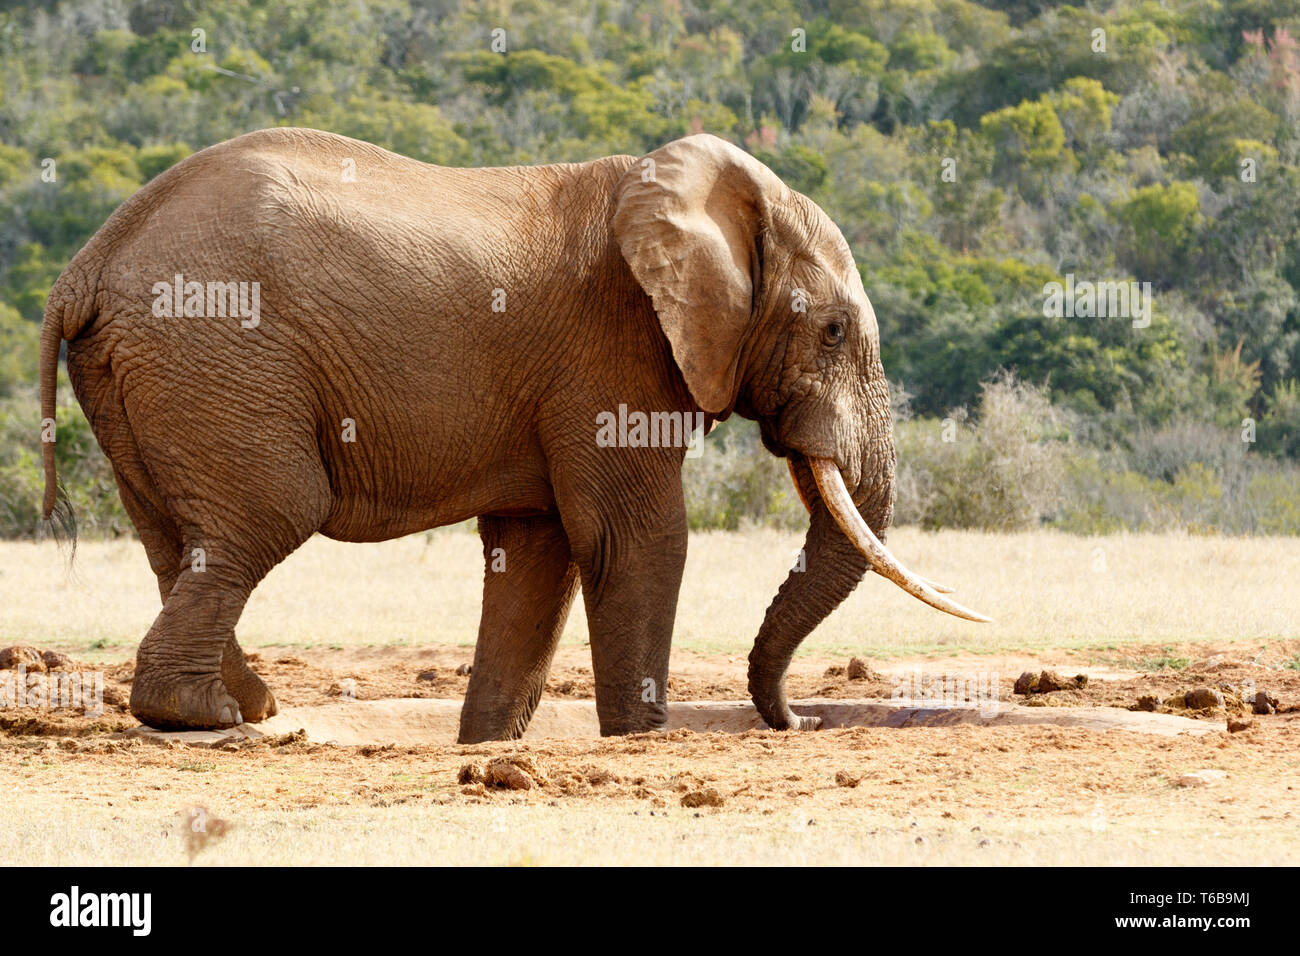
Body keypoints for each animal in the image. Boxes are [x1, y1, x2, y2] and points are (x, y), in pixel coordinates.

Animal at [38, 127, 982, 738]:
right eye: (833, 332)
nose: (796, 721)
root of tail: (88, 261)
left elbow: (538, 551)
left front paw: (490, 743)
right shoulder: (612, 349)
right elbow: (635, 536)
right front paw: (641, 736)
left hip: (153, 376)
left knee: (178, 539)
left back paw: (248, 705)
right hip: (215, 352)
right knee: (268, 514)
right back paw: (208, 716)